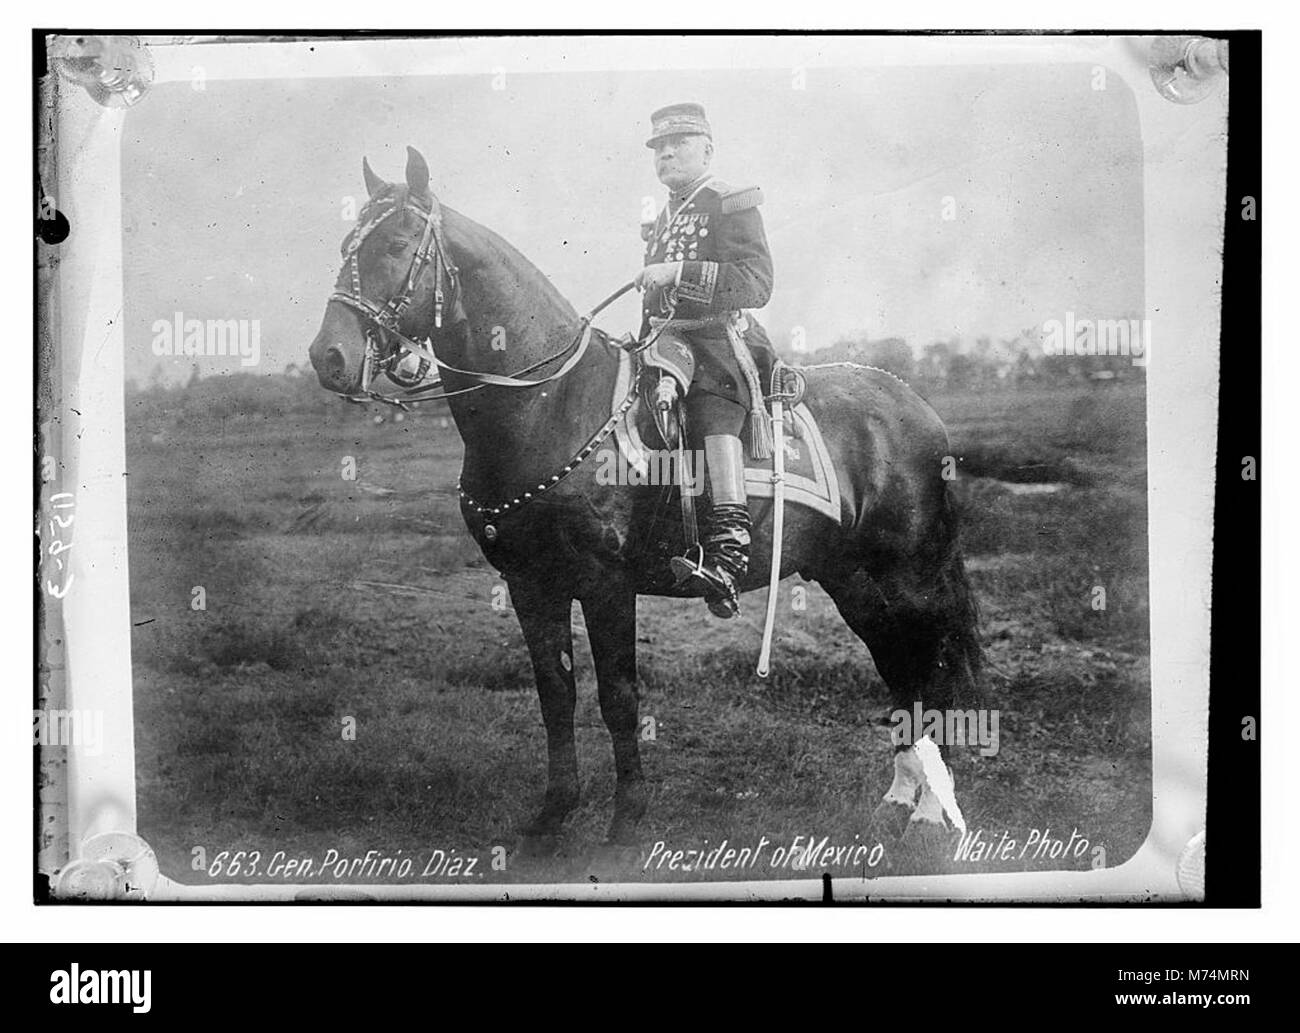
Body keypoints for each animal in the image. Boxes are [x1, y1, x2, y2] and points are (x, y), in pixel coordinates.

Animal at [306, 149, 977, 852]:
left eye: (396, 244)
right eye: (346, 245)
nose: (329, 356)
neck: (551, 404)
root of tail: (914, 404)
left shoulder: (606, 584)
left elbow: (619, 698)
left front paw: (626, 816)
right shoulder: (530, 583)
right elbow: (556, 697)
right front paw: (553, 815)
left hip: (909, 576)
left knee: (929, 667)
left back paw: (929, 813)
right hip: (851, 577)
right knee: (898, 666)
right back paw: (899, 799)